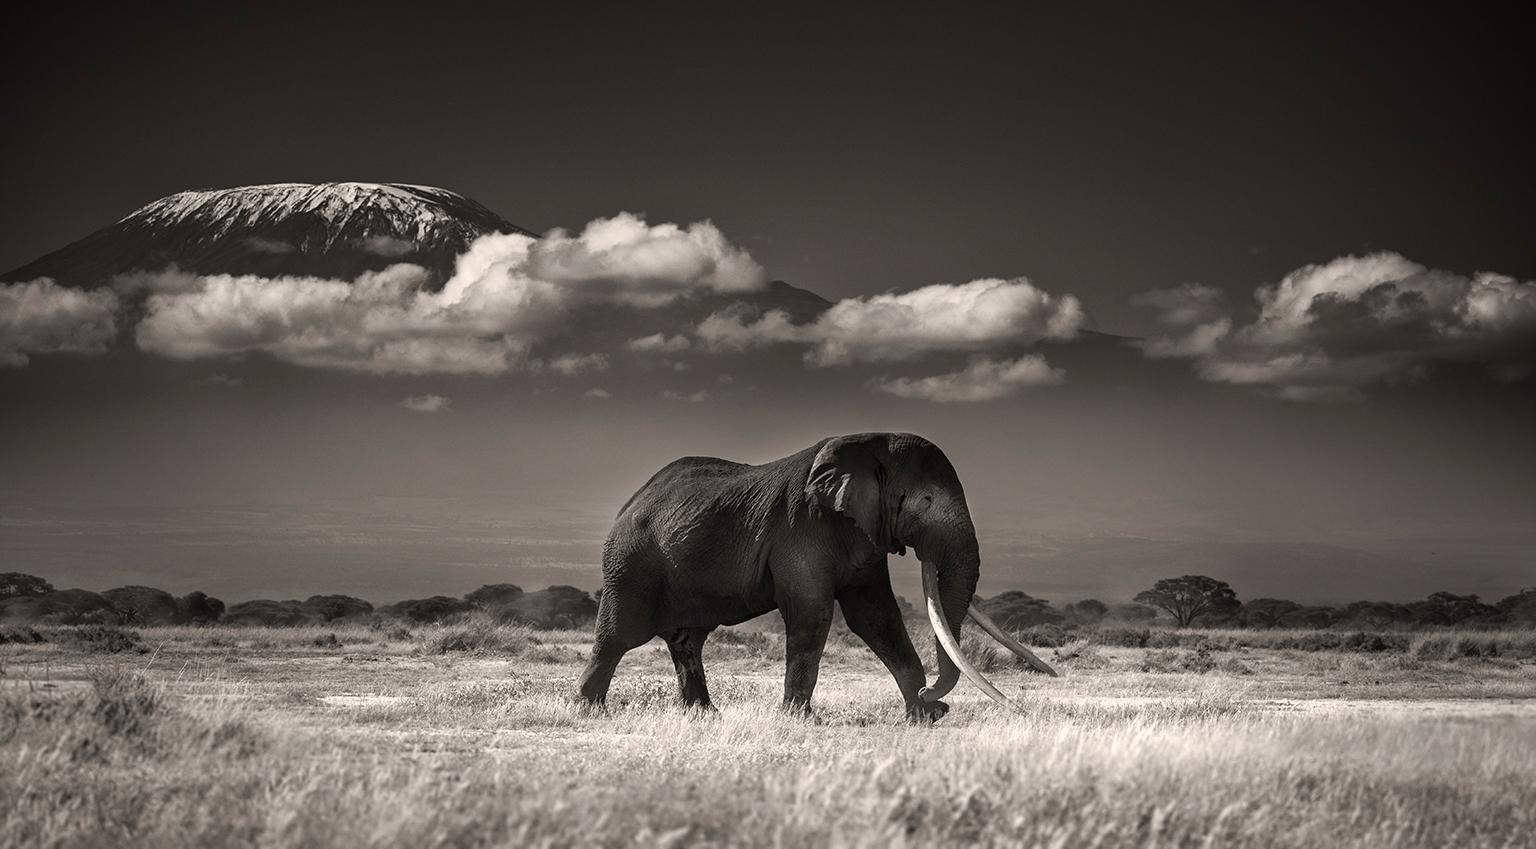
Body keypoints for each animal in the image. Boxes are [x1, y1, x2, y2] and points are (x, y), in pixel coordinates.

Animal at [577, 432, 1056, 718]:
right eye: (923, 501)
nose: (934, 701)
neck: (868, 445)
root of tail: (630, 501)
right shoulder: (801, 527)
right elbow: (813, 613)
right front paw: (798, 720)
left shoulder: (864, 534)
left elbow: (876, 617)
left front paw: (923, 717)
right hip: (631, 563)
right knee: (619, 636)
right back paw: (588, 710)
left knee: (687, 641)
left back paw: (703, 716)